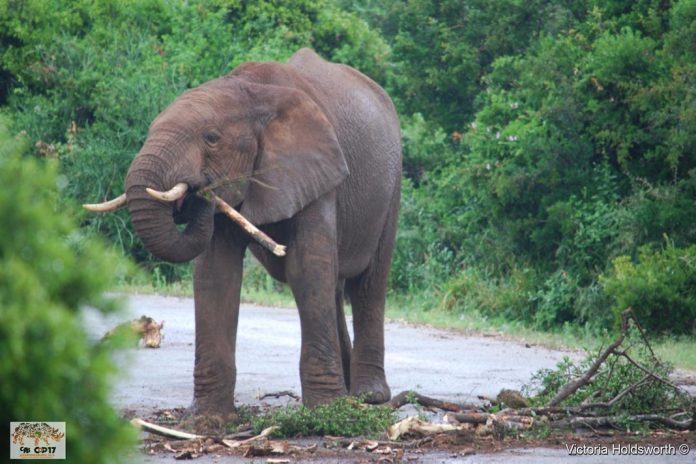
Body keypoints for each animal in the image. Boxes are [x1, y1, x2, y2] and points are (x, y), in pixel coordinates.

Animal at [85, 48, 402, 416]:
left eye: (211, 138)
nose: (200, 190)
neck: (252, 93)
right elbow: (216, 273)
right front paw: (209, 417)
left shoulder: (318, 171)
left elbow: (306, 268)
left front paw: (324, 413)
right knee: (335, 286)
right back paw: (350, 394)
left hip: (391, 185)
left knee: (368, 283)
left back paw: (368, 397)